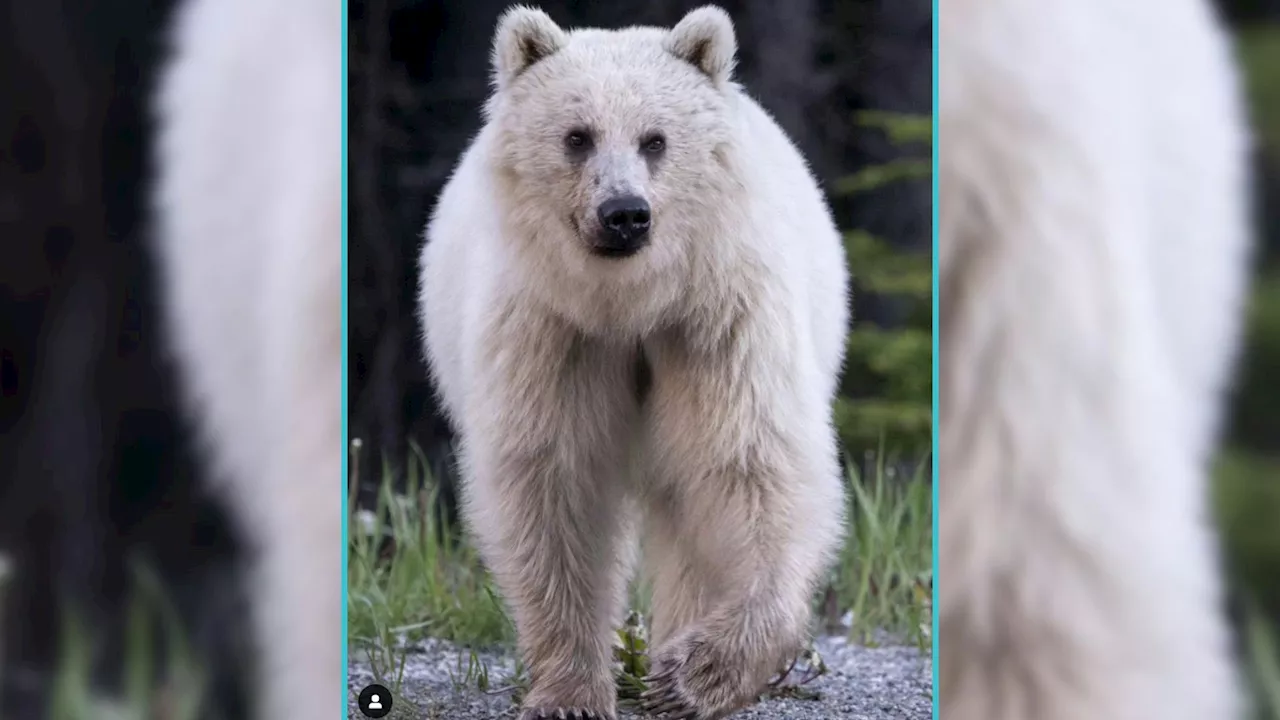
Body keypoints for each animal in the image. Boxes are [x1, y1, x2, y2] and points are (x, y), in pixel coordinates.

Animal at [419, 5, 849, 717]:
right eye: (577, 136)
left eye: (655, 139)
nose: (624, 213)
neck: (632, 305)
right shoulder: (555, 333)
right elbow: (552, 481)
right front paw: (569, 690)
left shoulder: (714, 321)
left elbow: (749, 464)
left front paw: (695, 672)